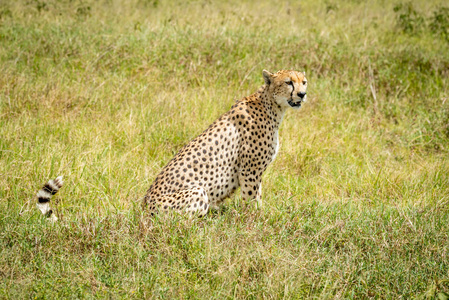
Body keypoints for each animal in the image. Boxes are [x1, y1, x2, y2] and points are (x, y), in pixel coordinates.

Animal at [142, 69, 306, 216]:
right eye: (288, 82)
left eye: (304, 82)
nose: (302, 94)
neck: (271, 106)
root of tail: (143, 207)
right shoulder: (249, 170)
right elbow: (251, 197)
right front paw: (254, 217)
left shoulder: (253, 171)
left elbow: (256, 194)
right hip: (198, 191)